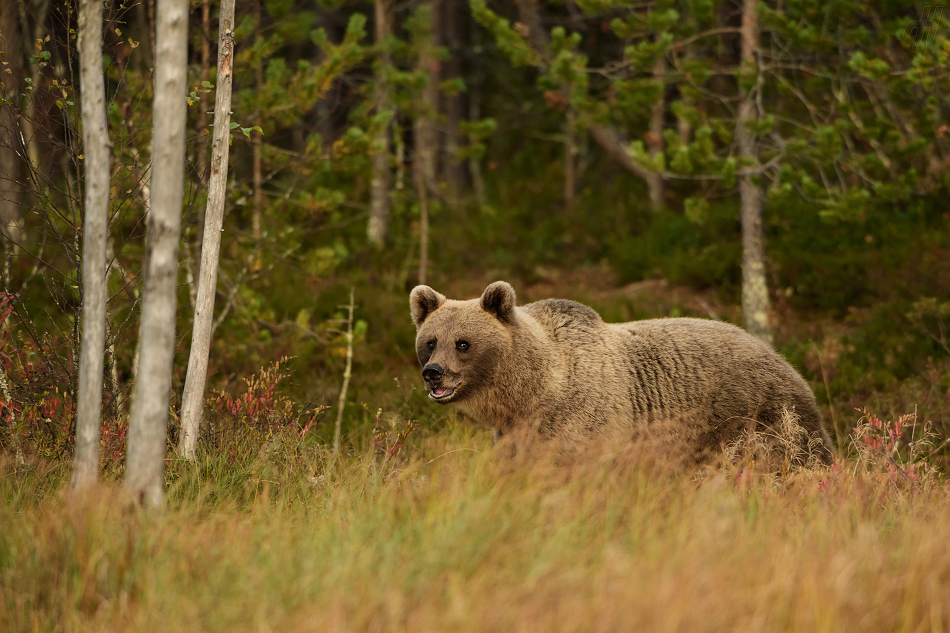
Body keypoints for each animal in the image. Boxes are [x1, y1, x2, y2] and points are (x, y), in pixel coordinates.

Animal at [412, 282, 836, 464]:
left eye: (463, 343)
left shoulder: (585, 423)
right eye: (431, 341)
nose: (433, 373)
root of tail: (785, 360)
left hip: (758, 418)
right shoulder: (518, 435)